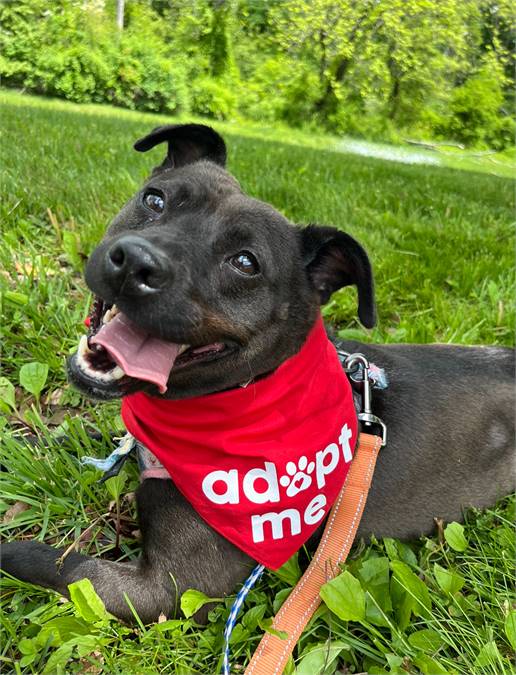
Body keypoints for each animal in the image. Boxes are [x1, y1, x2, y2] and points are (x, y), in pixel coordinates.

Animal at [2, 125, 512, 624]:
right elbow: (73, 436)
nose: (135, 262)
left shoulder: (167, 588)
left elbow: (53, 562)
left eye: (246, 262)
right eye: (155, 200)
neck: (243, 392)